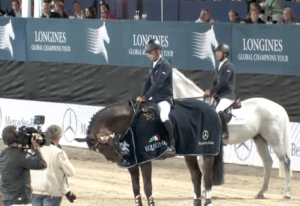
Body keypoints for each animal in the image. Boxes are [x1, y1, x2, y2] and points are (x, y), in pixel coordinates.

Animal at [76, 100, 224, 206]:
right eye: (98, 150)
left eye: (104, 145)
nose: (115, 158)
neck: (130, 124)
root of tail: (212, 109)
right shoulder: (133, 163)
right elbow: (135, 188)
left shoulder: (145, 160)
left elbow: (147, 188)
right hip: (189, 153)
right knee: (196, 176)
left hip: (207, 152)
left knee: (207, 178)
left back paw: (208, 202)